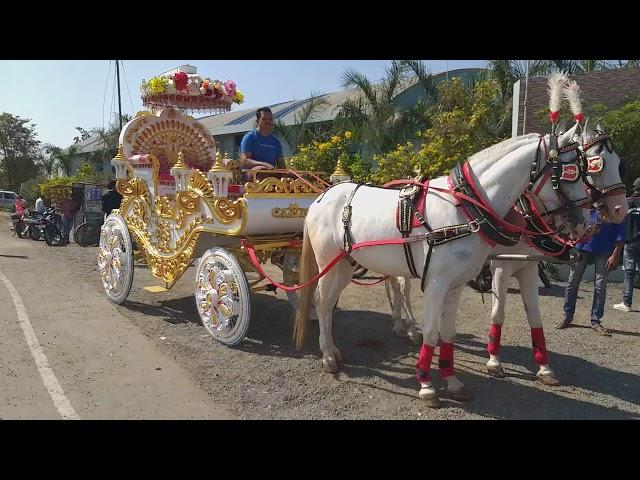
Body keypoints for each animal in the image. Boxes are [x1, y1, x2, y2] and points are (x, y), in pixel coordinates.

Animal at [292, 123, 620, 404]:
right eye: (570, 173)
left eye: (584, 170)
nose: (587, 223)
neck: (465, 210)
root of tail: (323, 196)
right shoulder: (438, 283)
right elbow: (432, 330)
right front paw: (426, 385)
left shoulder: (458, 285)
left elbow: (448, 332)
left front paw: (452, 381)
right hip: (329, 263)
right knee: (323, 302)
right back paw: (329, 355)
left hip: (346, 264)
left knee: (339, 300)